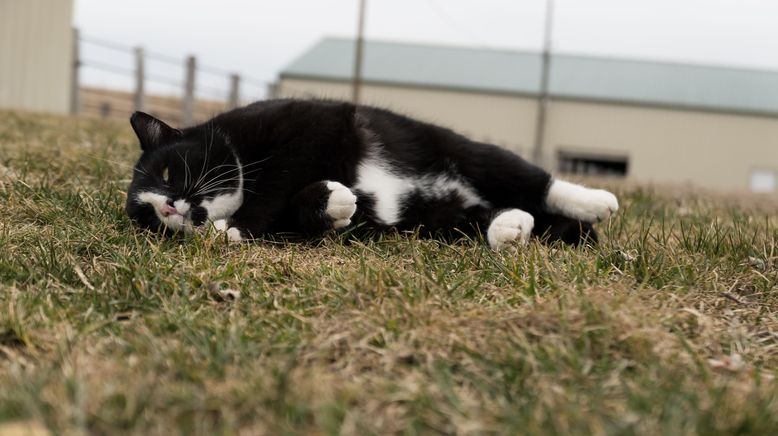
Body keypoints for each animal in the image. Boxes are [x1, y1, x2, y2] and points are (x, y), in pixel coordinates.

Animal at [124, 99, 616, 249]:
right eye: (149, 218)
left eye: (167, 171)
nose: (168, 208)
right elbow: (307, 209)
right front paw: (333, 201)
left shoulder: (312, 124)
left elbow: (279, 179)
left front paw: (235, 227)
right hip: (439, 221)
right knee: (484, 220)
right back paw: (510, 228)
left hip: (470, 153)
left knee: (534, 181)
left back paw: (597, 203)